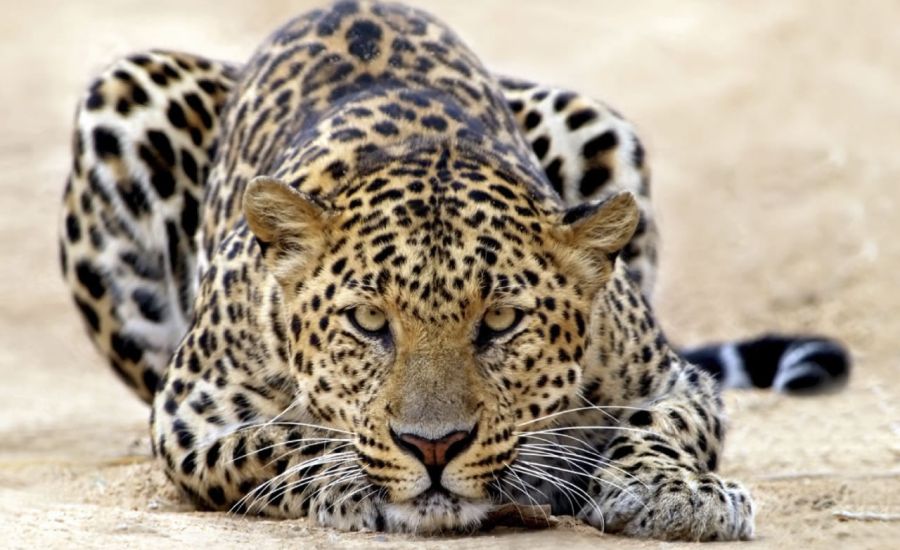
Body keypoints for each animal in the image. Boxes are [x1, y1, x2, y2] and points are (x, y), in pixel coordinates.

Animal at [59, 0, 848, 544]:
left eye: (499, 322)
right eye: (368, 322)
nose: (434, 447)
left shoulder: (672, 378)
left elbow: (664, 425)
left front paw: (672, 493)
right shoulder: (190, 415)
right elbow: (281, 440)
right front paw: (352, 482)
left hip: (594, 119)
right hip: (123, 94)